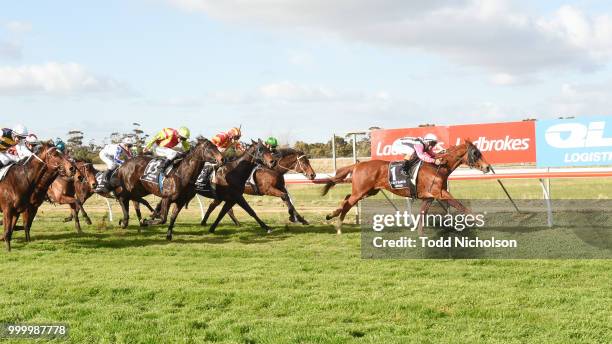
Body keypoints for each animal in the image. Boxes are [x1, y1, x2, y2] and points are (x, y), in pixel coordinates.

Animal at [322, 140, 490, 234]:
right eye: (475, 153)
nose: (487, 167)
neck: (438, 167)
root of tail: (357, 165)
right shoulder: (440, 193)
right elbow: (460, 205)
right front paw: (479, 220)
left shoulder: (429, 197)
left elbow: (422, 213)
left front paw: (421, 234)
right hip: (361, 191)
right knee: (348, 204)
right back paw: (338, 226)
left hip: (369, 191)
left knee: (346, 199)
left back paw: (331, 215)